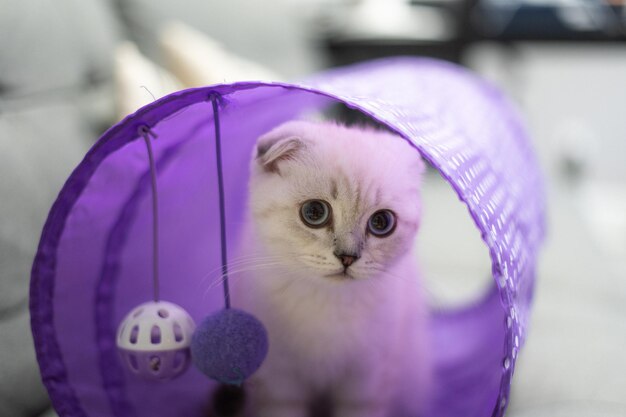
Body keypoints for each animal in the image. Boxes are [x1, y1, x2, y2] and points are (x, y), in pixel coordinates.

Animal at [232, 120, 432, 416]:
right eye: (314, 212)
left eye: (381, 223)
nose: (347, 257)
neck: (326, 302)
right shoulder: (277, 378)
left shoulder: (368, 378)